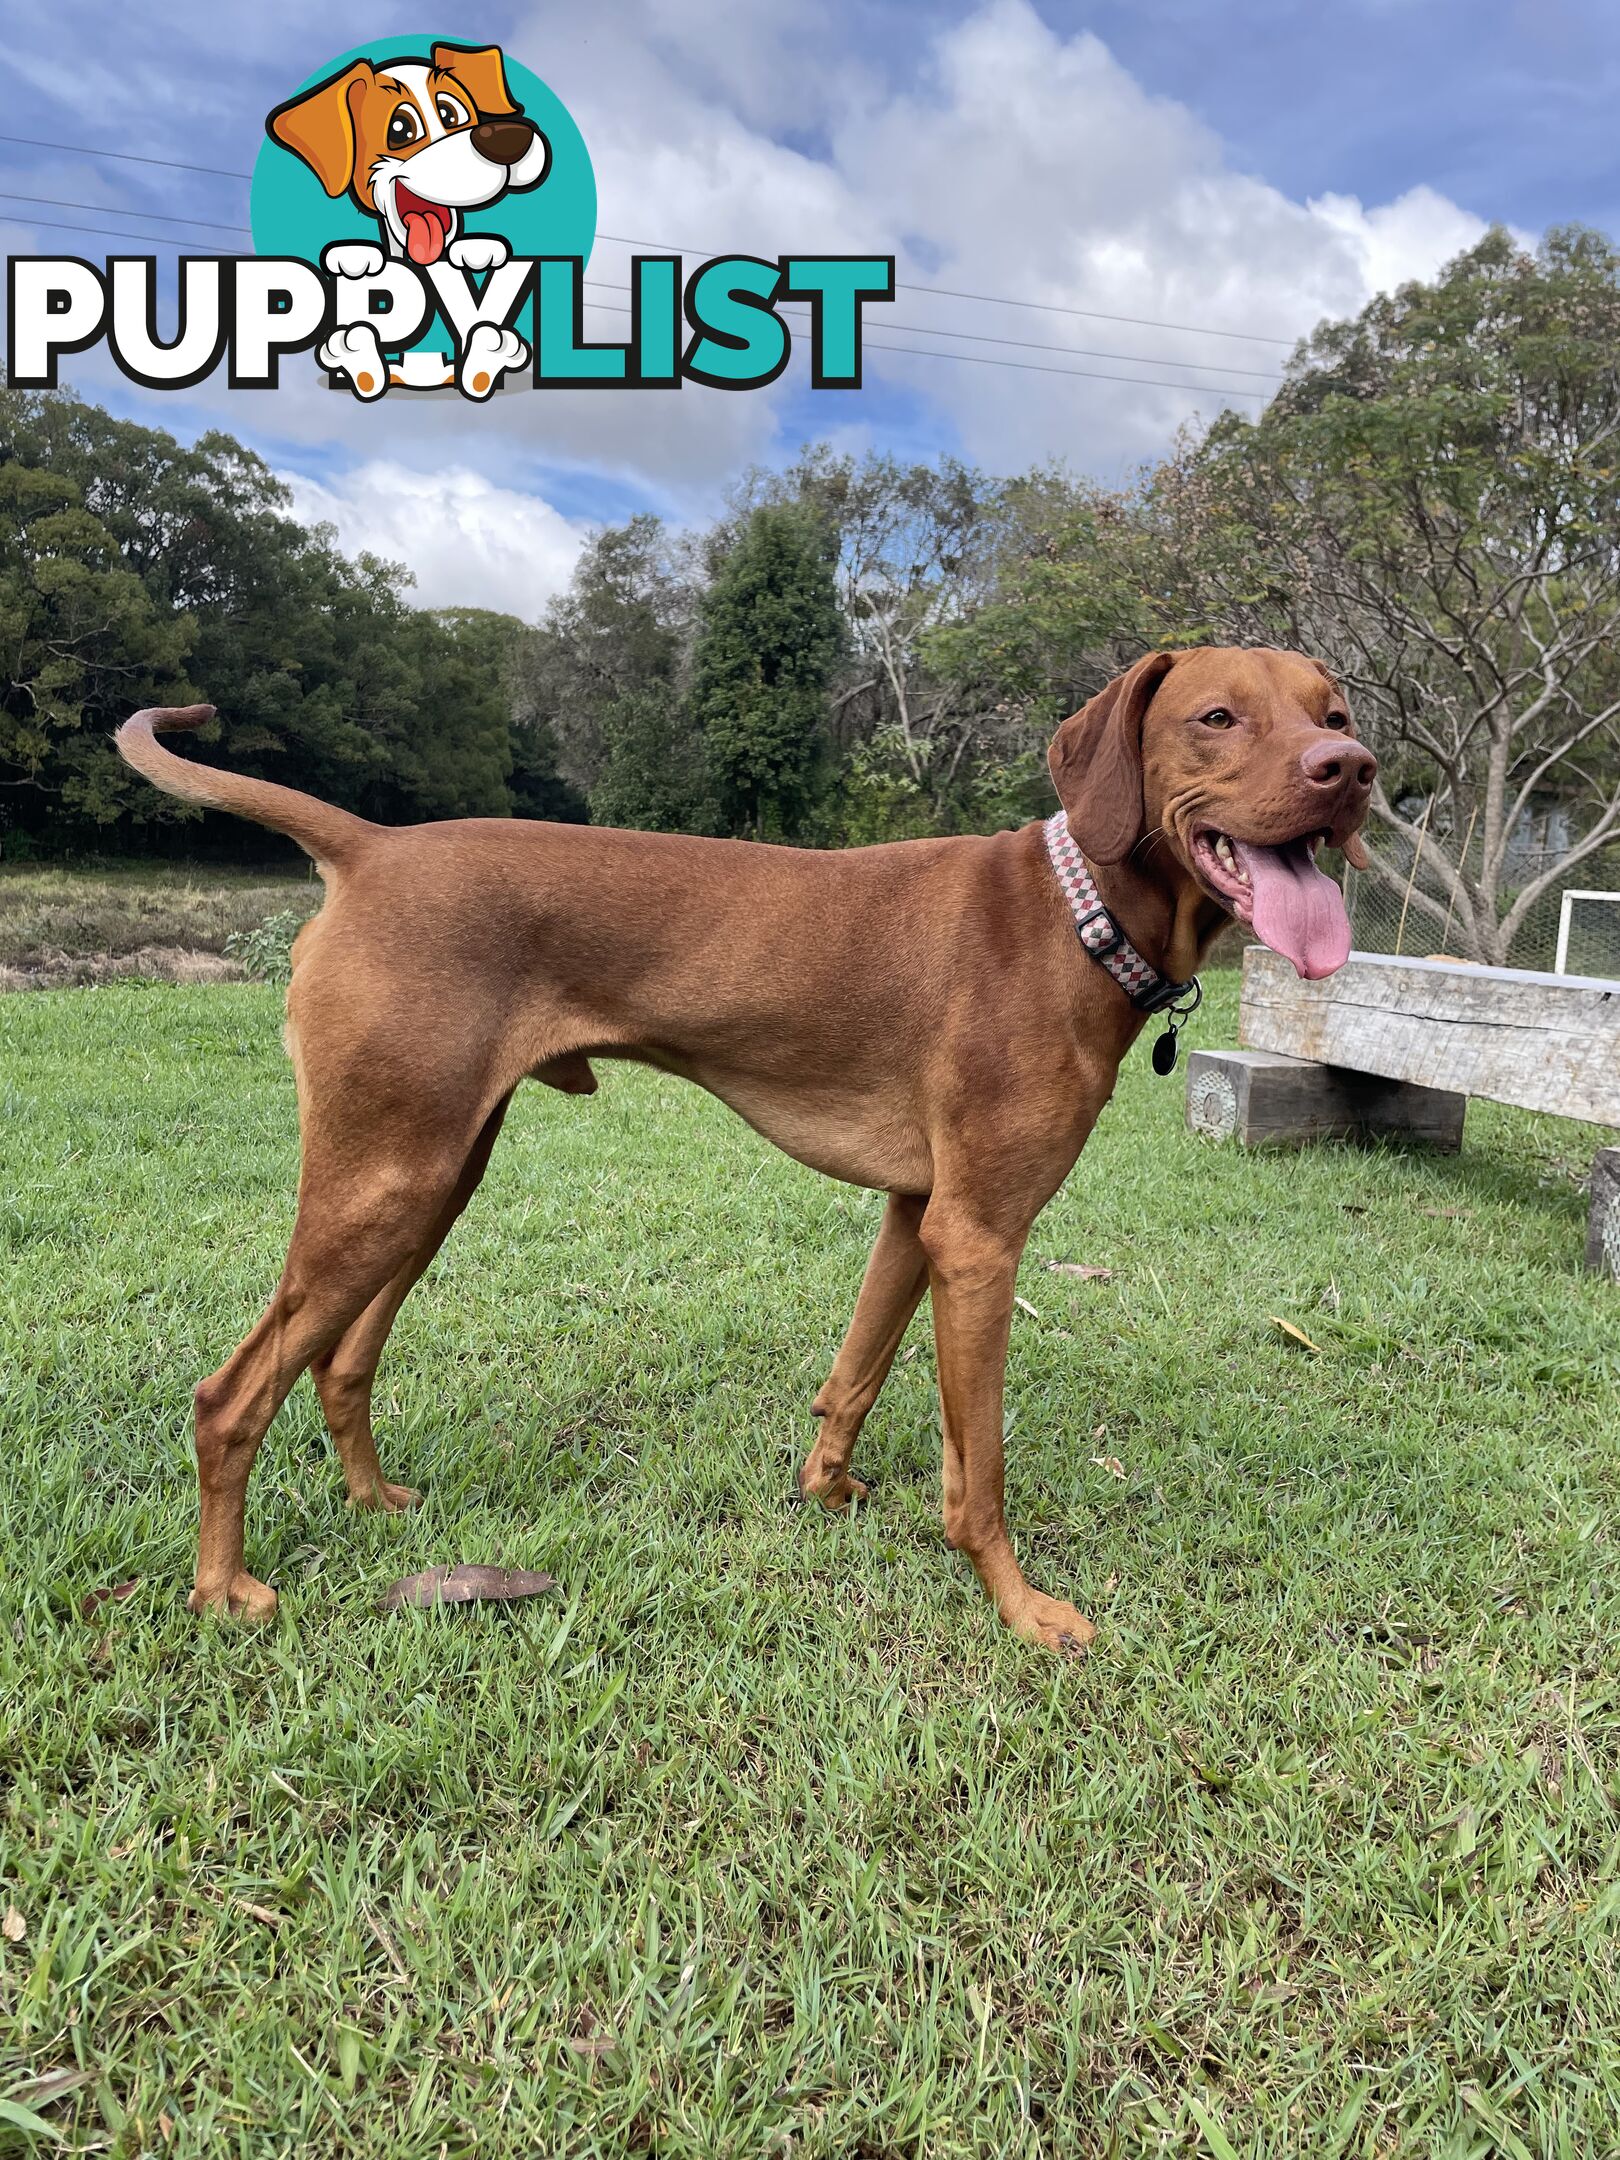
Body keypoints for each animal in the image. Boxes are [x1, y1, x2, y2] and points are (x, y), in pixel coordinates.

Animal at [114, 648, 1373, 1641]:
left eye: (1336, 709)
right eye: (1218, 716)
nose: (1350, 771)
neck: (1077, 915)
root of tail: (371, 847)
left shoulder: (919, 1217)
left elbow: (856, 1375)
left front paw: (827, 1489)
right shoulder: (983, 1236)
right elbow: (981, 1473)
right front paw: (1019, 1607)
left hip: (431, 1177)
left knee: (340, 1361)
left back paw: (375, 1505)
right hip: (384, 1179)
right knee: (228, 1396)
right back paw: (223, 1592)